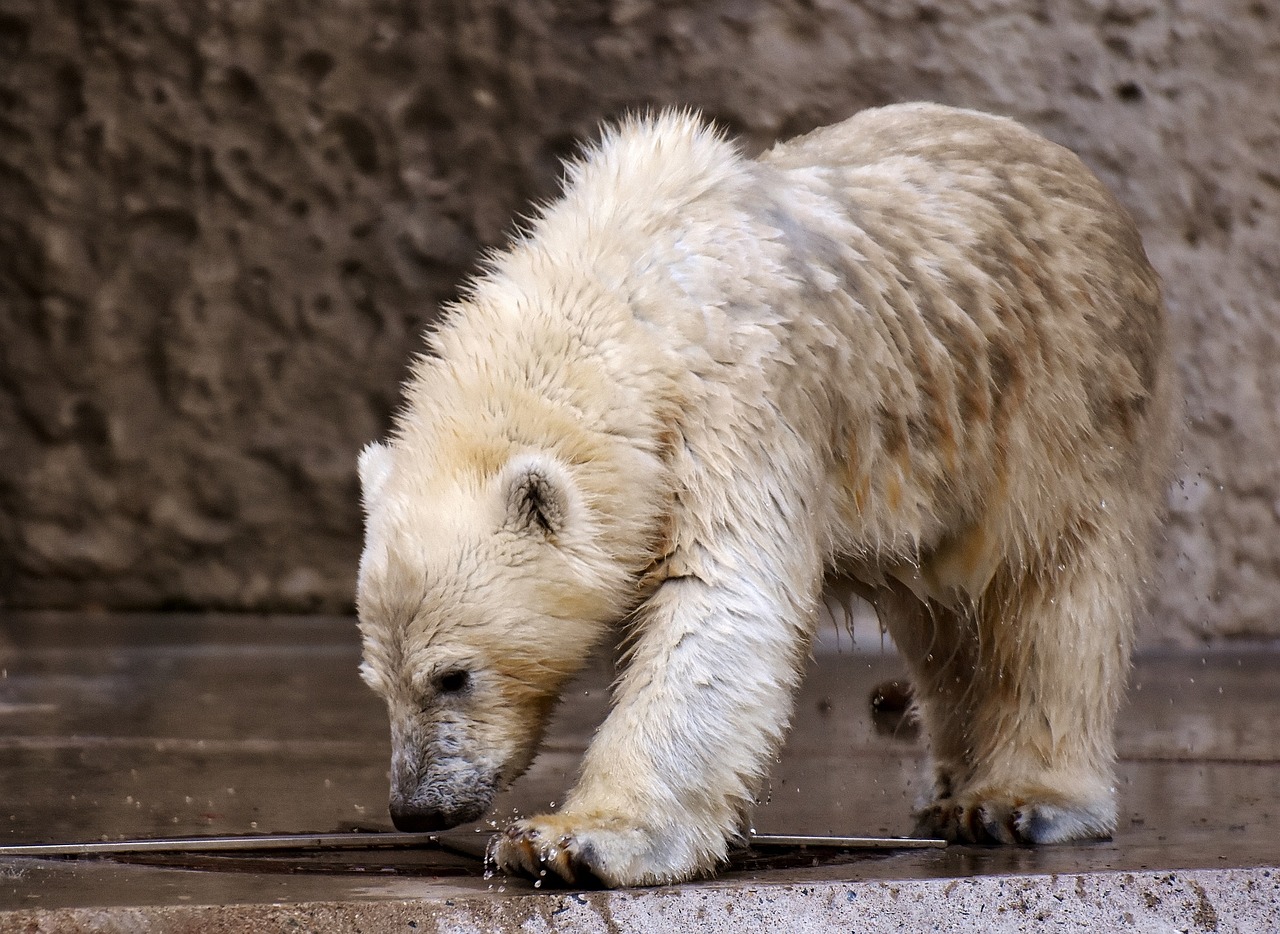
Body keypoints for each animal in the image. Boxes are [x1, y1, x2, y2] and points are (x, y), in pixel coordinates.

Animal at [355, 103, 1172, 885]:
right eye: (376, 680)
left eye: (454, 676)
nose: (413, 808)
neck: (624, 288)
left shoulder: (738, 404)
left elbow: (719, 604)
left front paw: (568, 841)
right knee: (943, 622)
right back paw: (951, 789)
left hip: (1056, 404)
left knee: (1048, 595)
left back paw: (1019, 801)